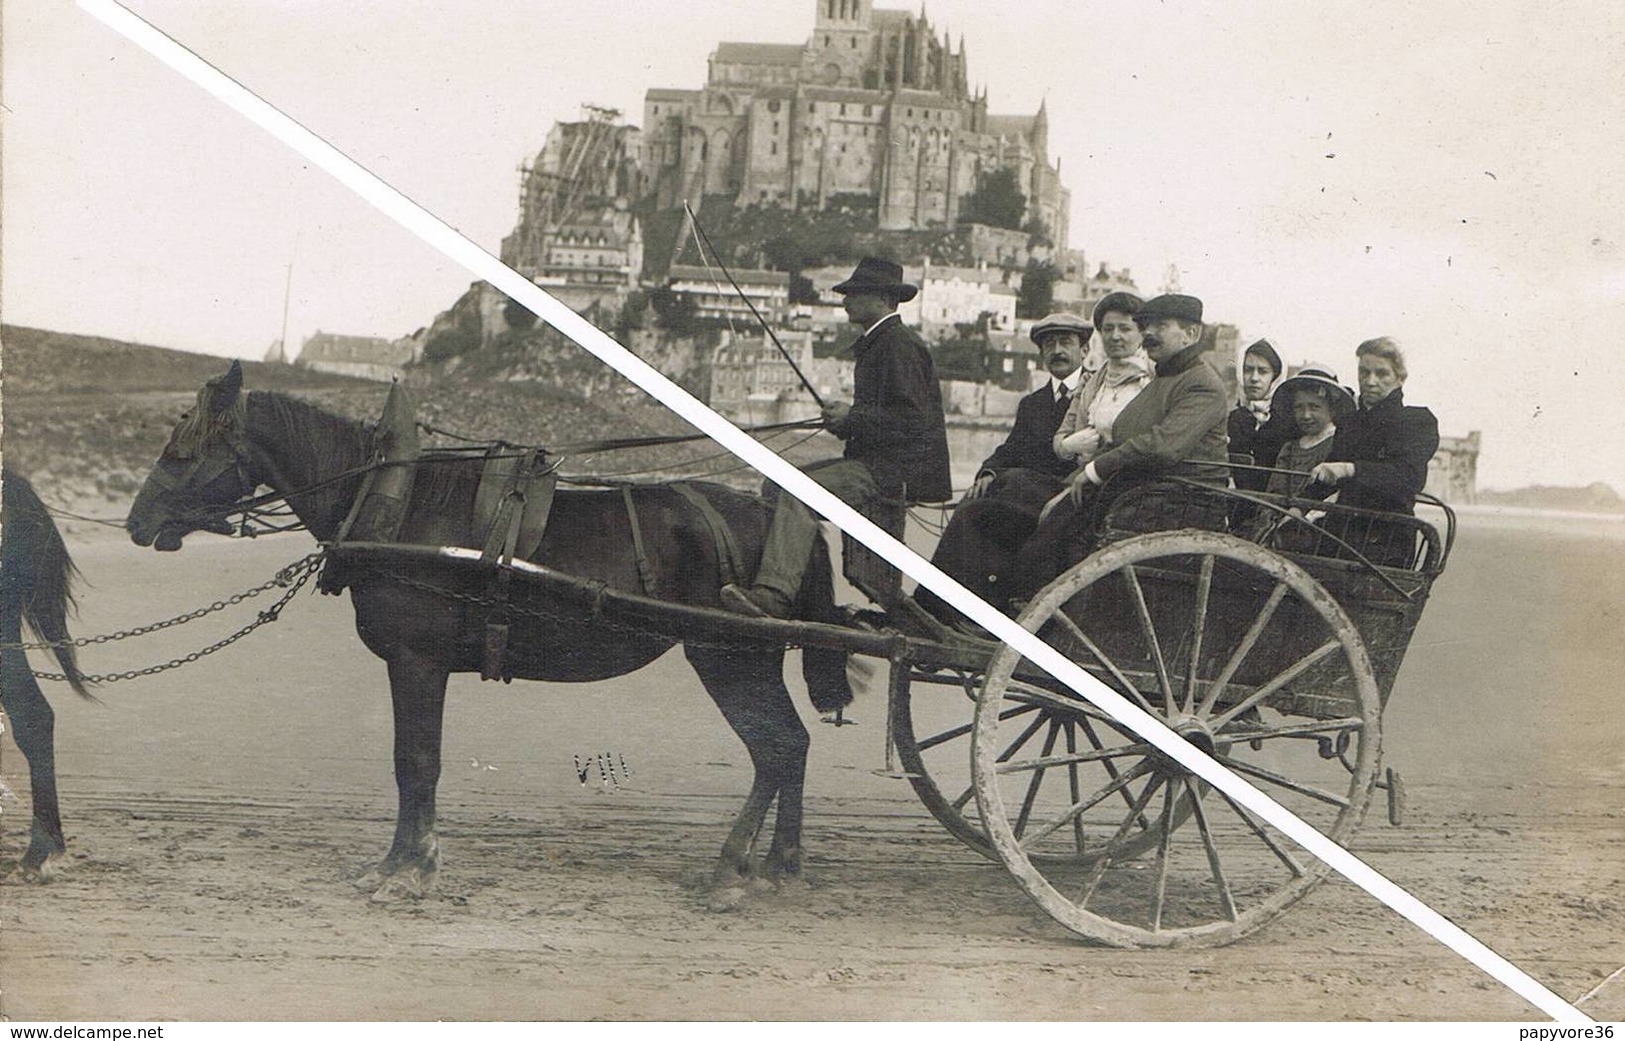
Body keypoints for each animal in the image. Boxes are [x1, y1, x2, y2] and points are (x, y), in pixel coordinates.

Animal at [126, 360, 858, 902]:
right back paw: (778, 865)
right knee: (790, 748)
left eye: (182, 448)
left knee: (776, 748)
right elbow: (413, 764)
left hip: (727, 657)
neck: (398, 503)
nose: (136, 521)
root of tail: (768, 512)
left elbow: (415, 761)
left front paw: (407, 869)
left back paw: (734, 867)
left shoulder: (414, 660)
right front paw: (403, 861)